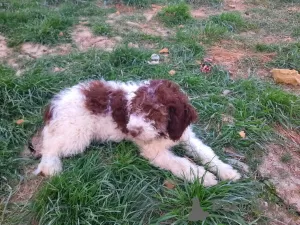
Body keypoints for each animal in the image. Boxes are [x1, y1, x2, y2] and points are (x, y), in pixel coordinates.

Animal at [30, 79, 240, 186]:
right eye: (135, 108)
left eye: (155, 112)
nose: (131, 130)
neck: (164, 132)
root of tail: (53, 104)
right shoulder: (154, 152)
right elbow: (181, 163)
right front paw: (204, 177)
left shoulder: (184, 135)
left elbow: (206, 153)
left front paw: (227, 171)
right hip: (77, 135)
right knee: (50, 145)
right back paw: (51, 166)